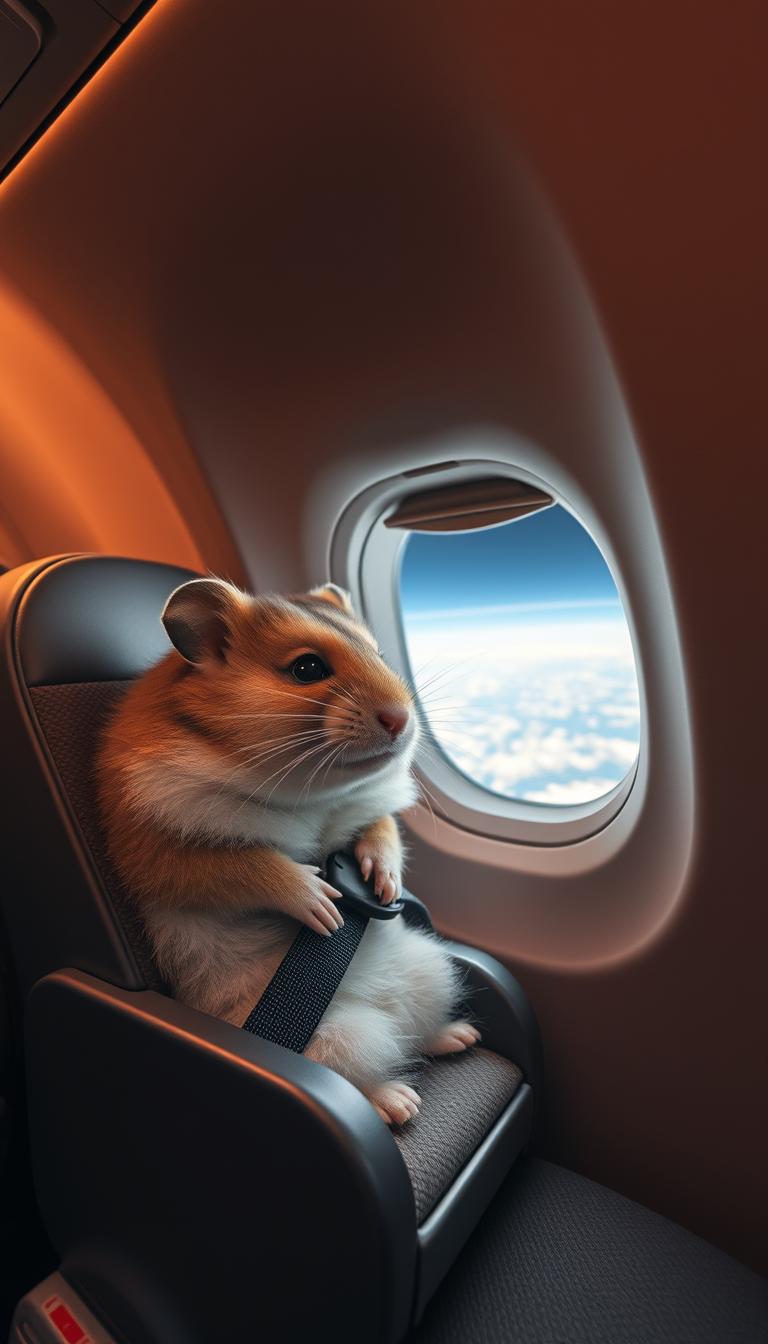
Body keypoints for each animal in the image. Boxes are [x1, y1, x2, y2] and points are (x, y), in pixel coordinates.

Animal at [97, 578, 479, 1125]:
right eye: (307, 669)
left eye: (380, 654)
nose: (402, 719)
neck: (311, 792)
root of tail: (385, 1004)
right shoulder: (157, 853)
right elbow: (247, 866)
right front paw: (326, 910)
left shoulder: (367, 810)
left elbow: (381, 829)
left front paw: (383, 884)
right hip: (333, 1040)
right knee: (365, 1072)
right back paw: (400, 1103)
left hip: (430, 975)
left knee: (417, 1031)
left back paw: (460, 1036)